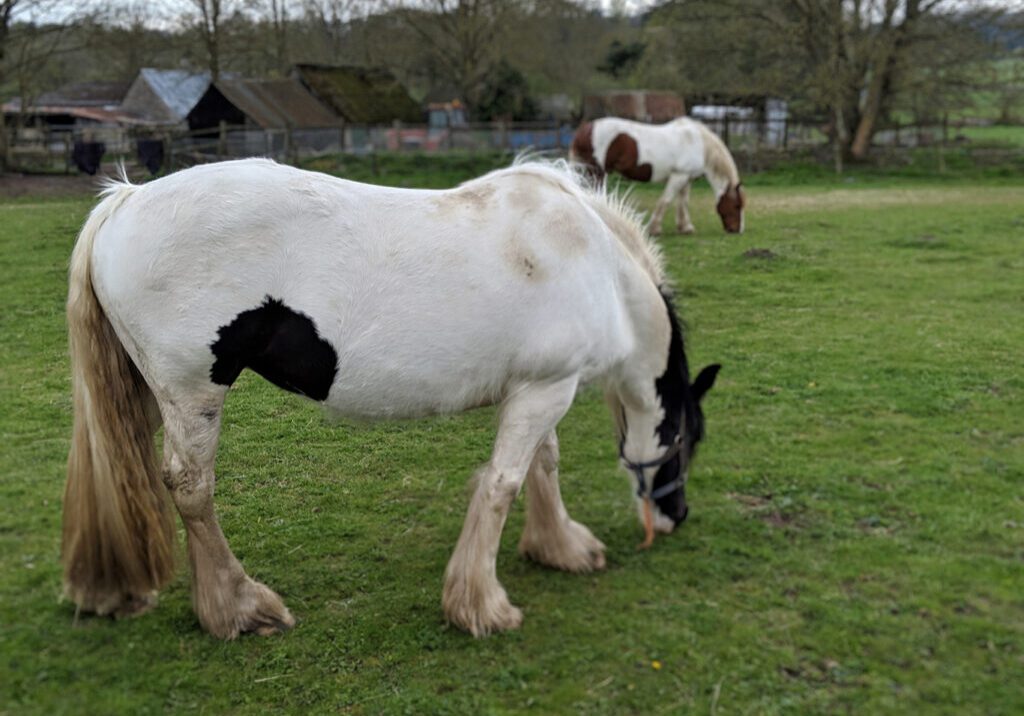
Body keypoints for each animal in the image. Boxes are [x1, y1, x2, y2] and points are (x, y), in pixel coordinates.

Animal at [62, 158, 720, 639]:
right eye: (686, 438)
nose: (676, 515)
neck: (591, 260)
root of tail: (125, 202)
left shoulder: (538, 388)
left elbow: (542, 465)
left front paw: (559, 547)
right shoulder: (546, 391)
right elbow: (504, 483)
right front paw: (481, 606)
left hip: (152, 396)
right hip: (193, 390)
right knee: (190, 488)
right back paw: (240, 607)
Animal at [571, 116, 745, 236]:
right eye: (737, 206)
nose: (737, 230)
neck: (699, 143)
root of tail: (585, 129)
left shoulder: (686, 179)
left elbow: (683, 203)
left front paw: (685, 227)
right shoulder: (678, 176)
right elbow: (665, 201)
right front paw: (654, 229)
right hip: (595, 172)